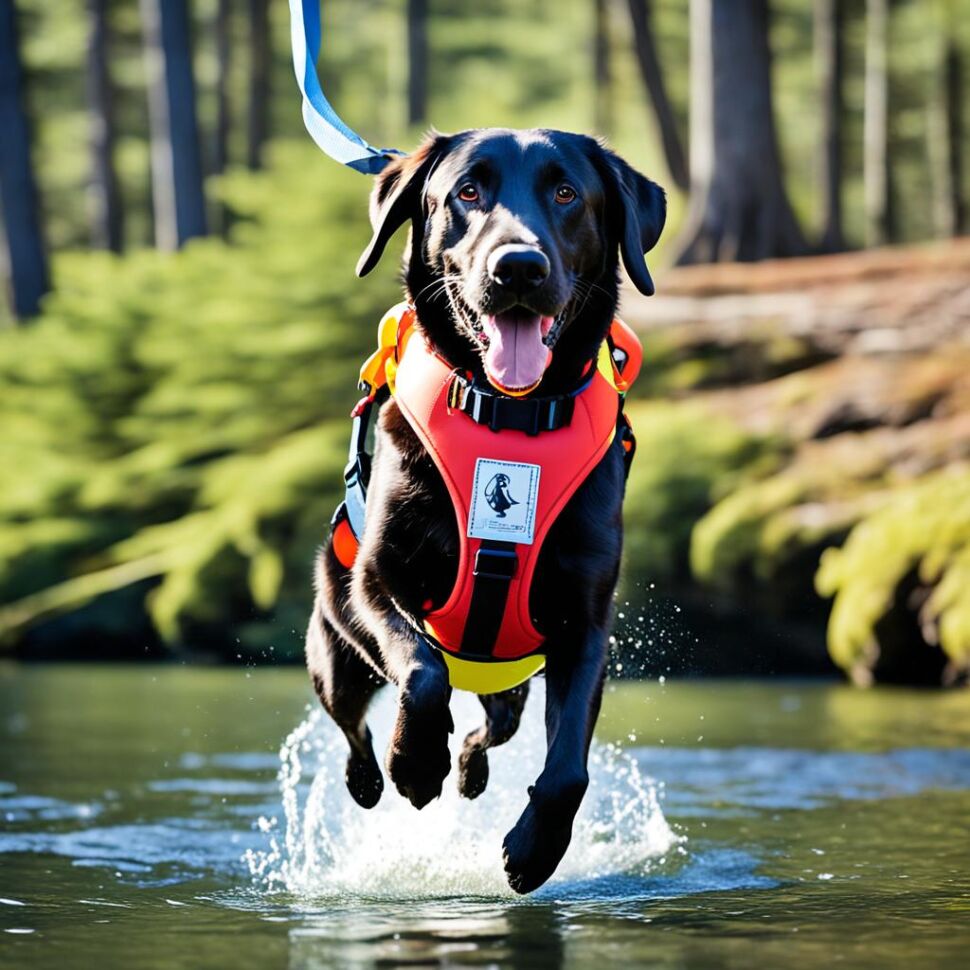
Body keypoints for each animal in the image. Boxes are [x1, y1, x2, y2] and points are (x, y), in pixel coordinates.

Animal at [306, 130, 660, 892]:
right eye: (466, 192)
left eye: (566, 193)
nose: (518, 267)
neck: (510, 416)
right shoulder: (376, 584)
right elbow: (420, 670)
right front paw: (415, 765)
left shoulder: (585, 624)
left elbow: (568, 767)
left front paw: (534, 849)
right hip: (335, 648)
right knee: (354, 724)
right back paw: (375, 778)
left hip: (513, 682)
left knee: (494, 728)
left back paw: (468, 769)